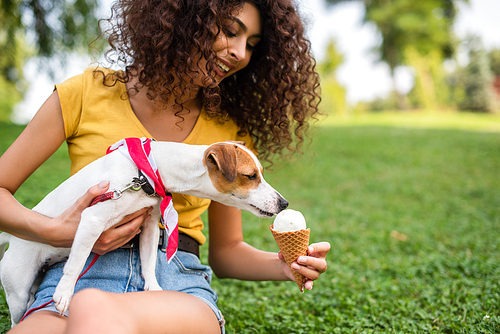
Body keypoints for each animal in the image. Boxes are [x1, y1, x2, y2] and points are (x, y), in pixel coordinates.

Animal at [0, 139, 290, 326]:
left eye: (259, 174)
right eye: (250, 176)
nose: (284, 203)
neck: (146, 172)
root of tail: (13, 239)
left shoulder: (149, 224)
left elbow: (149, 261)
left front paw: (153, 287)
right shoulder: (91, 219)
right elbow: (76, 263)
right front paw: (63, 293)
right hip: (18, 293)